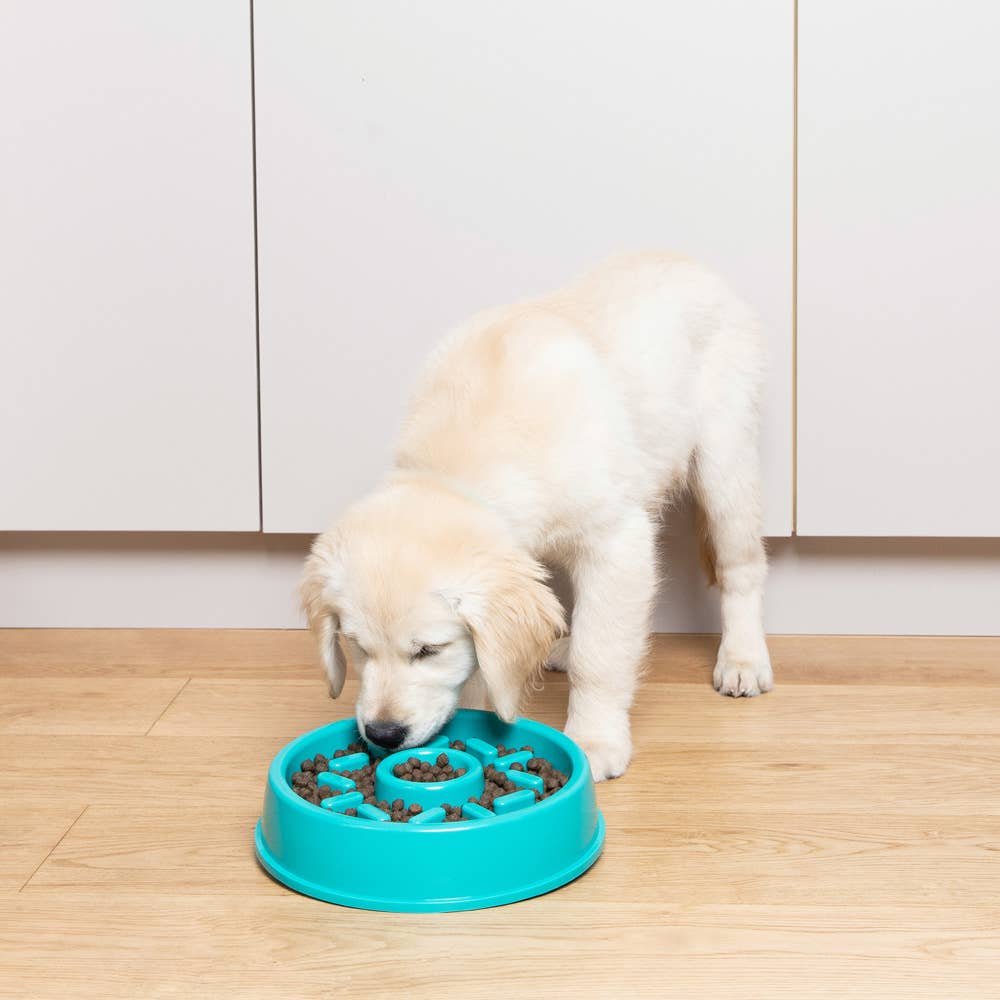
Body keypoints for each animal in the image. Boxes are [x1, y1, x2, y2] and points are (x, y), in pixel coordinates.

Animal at [302, 252, 772, 780]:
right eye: (357, 647)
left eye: (429, 651)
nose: (383, 734)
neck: (461, 462)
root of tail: (682, 258)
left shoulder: (618, 543)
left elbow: (600, 653)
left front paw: (594, 738)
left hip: (724, 461)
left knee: (741, 568)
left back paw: (743, 659)